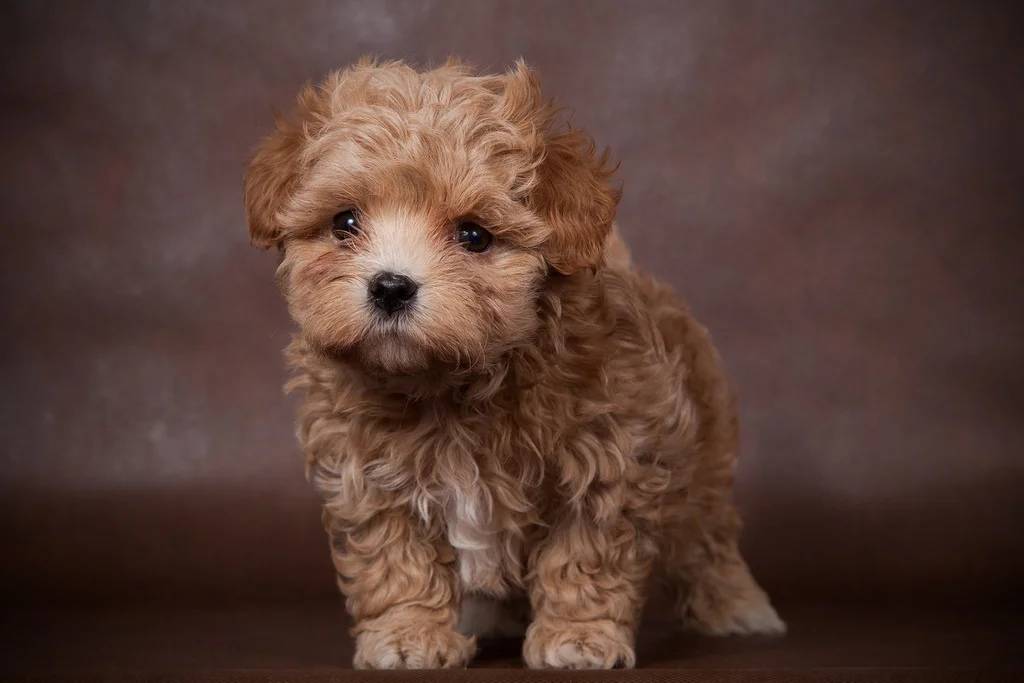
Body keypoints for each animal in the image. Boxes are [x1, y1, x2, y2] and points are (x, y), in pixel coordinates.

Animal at [241, 57, 782, 667]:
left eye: (474, 235)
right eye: (345, 223)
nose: (390, 287)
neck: (448, 384)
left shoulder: (609, 460)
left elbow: (585, 553)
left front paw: (580, 635)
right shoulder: (367, 473)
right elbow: (395, 555)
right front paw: (408, 634)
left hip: (705, 464)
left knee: (708, 538)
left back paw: (737, 606)